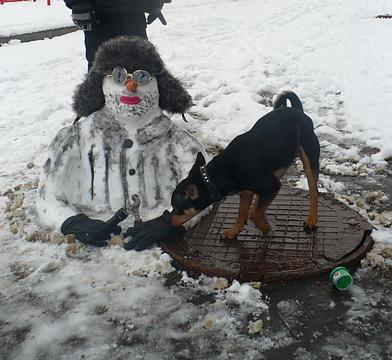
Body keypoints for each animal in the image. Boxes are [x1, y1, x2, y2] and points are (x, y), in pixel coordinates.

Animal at [170, 90, 320, 239]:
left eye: (177, 209)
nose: (168, 219)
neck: (220, 172)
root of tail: (297, 109)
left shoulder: (273, 185)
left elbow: (253, 213)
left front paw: (264, 226)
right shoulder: (246, 192)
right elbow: (242, 213)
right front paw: (234, 232)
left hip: (309, 159)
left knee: (314, 191)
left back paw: (311, 220)